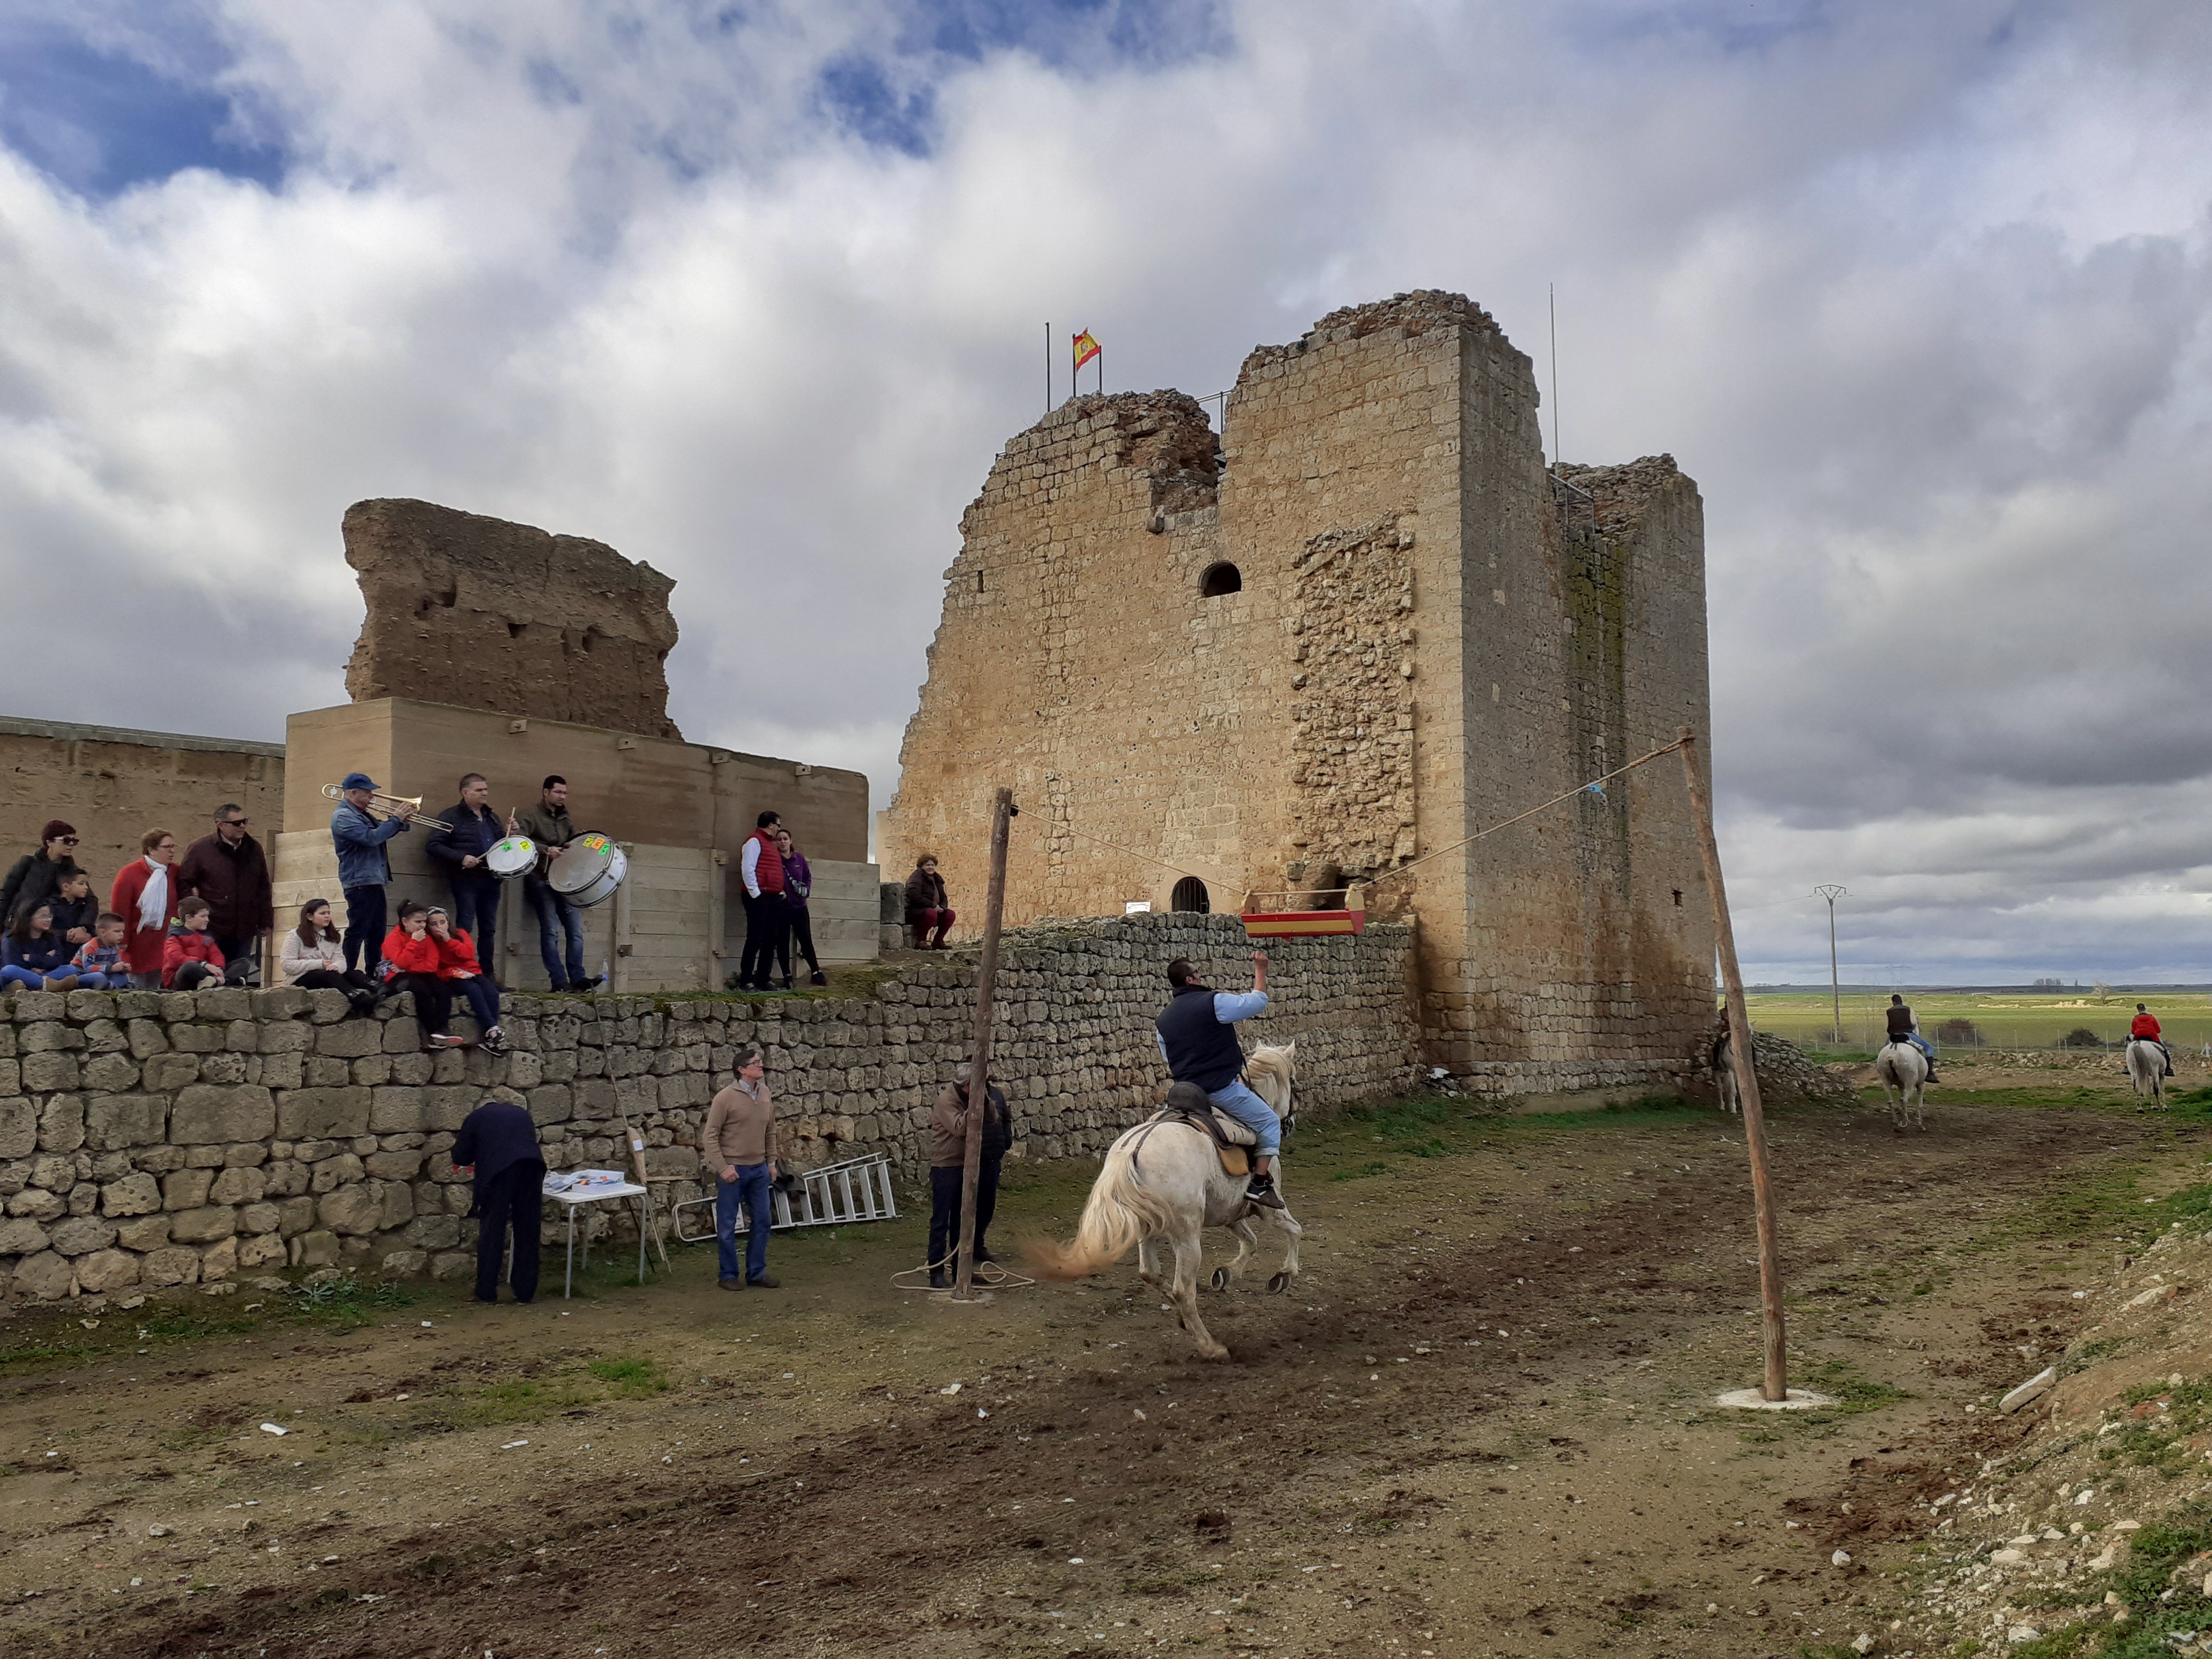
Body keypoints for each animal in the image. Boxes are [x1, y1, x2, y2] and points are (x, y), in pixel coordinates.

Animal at [1028, 1042, 1303, 1361]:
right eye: (1293, 1080)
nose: (1290, 1124)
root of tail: (1132, 1151)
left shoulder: (1230, 1214)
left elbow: (1251, 1241)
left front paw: (1227, 1273)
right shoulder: (1267, 1209)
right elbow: (1293, 1231)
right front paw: (1284, 1275)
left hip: (1148, 1230)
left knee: (1151, 1274)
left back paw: (1184, 1319)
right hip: (1187, 1238)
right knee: (1183, 1289)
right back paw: (1210, 1346)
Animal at [1875, 1039, 1929, 1131]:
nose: (1922, 1047)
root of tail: (1892, 1054)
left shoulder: (1901, 1086)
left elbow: (1901, 1099)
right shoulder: (1921, 1085)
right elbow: (1920, 1105)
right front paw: (1920, 1123)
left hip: (1885, 1081)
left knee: (1891, 1102)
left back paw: (1896, 1121)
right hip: (1910, 1083)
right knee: (1905, 1101)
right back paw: (1906, 1122)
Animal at [2127, 1038, 2168, 1110]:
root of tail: (2138, 1044)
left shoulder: (2146, 1074)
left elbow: (2150, 1089)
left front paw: (2153, 1105)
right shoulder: (2161, 1073)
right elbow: (2162, 1089)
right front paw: (2164, 1106)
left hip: (2133, 1069)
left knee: (2136, 1088)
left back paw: (2140, 1108)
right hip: (2155, 1070)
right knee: (2156, 1088)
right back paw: (2159, 1104)